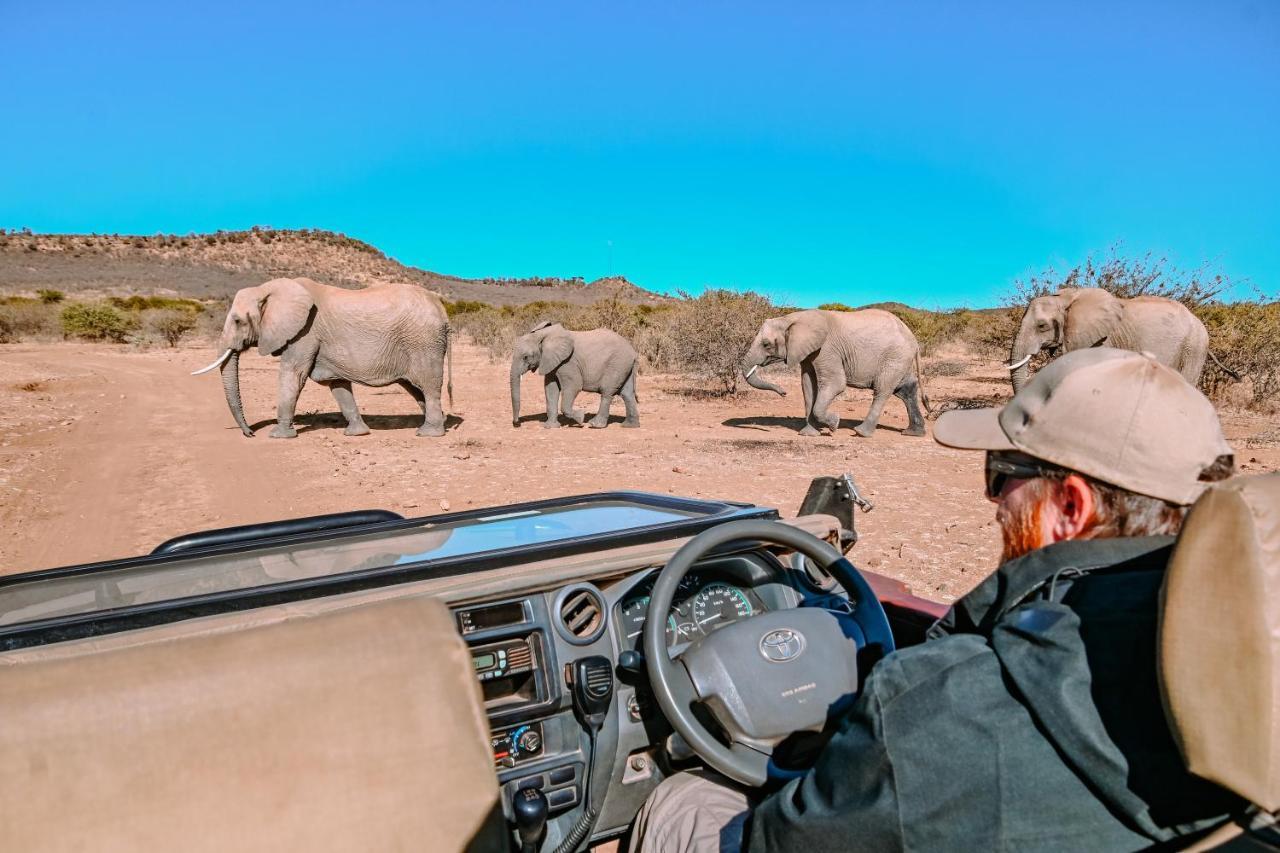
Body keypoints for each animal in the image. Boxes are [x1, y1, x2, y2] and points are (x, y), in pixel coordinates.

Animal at [186, 279, 453, 438]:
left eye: (238, 321)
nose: (250, 433)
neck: (268, 289)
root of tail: (442, 308)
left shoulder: (305, 333)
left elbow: (293, 375)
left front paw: (278, 436)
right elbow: (338, 385)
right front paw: (357, 434)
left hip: (423, 342)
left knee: (428, 386)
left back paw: (428, 433)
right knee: (416, 388)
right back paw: (436, 422)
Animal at [509, 320, 640, 427]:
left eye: (526, 357)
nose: (517, 423)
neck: (544, 335)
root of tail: (633, 352)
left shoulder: (568, 363)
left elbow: (574, 387)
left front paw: (580, 418)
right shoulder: (551, 362)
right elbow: (550, 389)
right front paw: (550, 427)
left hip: (617, 364)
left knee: (607, 392)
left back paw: (595, 425)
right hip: (624, 366)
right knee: (627, 394)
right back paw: (629, 426)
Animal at [742, 307, 931, 438]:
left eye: (766, 344)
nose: (783, 392)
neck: (792, 318)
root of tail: (914, 340)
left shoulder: (827, 349)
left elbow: (836, 384)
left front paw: (834, 424)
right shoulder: (808, 352)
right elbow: (808, 386)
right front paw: (808, 434)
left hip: (895, 357)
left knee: (882, 390)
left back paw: (860, 433)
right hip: (900, 359)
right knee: (906, 389)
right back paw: (913, 433)